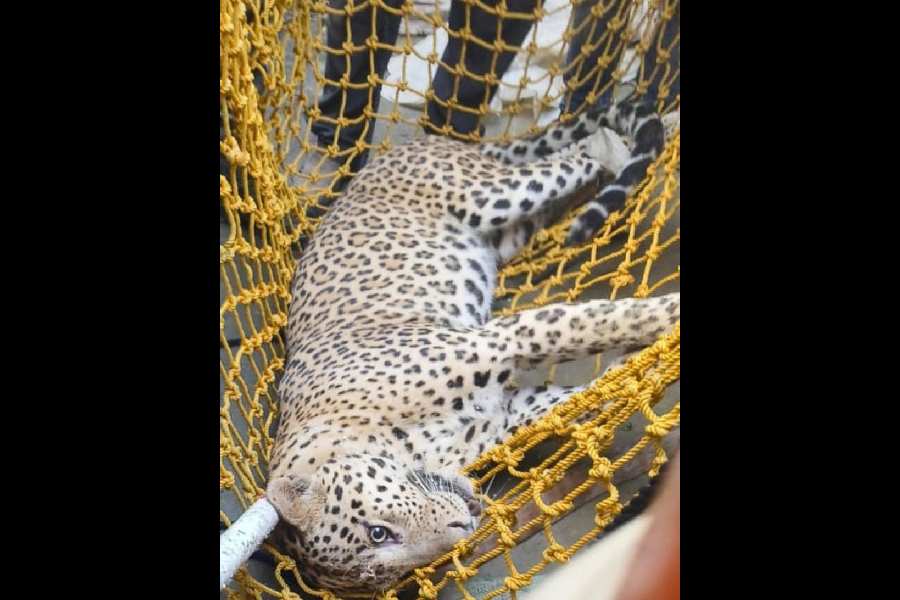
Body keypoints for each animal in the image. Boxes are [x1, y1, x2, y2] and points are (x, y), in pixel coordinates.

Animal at [265, 93, 679, 594]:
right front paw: (632, 375)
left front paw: (666, 319)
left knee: (575, 154)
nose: (463, 528)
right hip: (507, 233)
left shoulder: (496, 339)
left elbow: (590, 323)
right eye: (386, 568)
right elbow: (573, 398)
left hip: (488, 195)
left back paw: (626, 139)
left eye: (377, 532)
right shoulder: (507, 411)